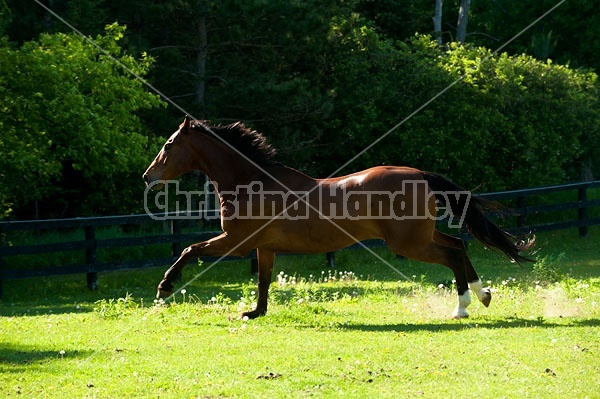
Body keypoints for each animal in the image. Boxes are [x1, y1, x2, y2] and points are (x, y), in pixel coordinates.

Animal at [142, 115, 536, 318]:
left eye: (168, 145)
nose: (148, 176)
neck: (251, 182)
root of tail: (420, 176)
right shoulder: (262, 248)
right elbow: (264, 282)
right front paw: (255, 313)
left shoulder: (236, 243)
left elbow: (189, 250)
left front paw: (165, 287)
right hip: (419, 236)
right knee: (458, 245)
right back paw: (482, 293)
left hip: (409, 244)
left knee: (453, 254)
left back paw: (462, 307)